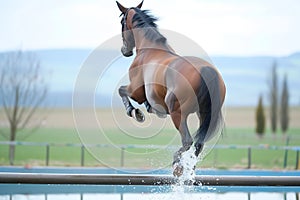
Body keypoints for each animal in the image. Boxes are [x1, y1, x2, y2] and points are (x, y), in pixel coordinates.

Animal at [116, 1, 226, 177]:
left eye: (122, 22)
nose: (124, 51)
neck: (149, 48)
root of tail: (206, 71)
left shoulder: (135, 90)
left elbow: (121, 91)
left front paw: (135, 112)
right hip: (203, 113)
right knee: (199, 144)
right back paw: (189, 168)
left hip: (178, 113)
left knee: (187, 140)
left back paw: (177, 165)